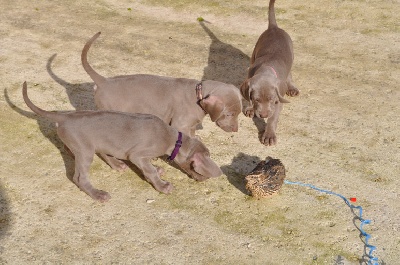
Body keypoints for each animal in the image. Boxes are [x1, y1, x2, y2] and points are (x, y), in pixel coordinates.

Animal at [22, 81, 222, 201]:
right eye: (197, 168)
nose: (204, 180)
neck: (172, 138)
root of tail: (65, 116)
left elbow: (148, 167)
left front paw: (157, 169)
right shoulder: (137, 154)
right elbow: (149, 169)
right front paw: (161, 185)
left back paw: (113, 163)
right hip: (85, 150)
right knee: (79, 177)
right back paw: (98, 194)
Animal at [239, 0, 298, 146]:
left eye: (271, 99)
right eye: (256, 99)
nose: (264, 115)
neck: (266, 68)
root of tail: (274, 27)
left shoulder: (278, 100)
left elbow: (273, 118)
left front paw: (269, 135)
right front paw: (250, 108)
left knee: (290, 74)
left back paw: (292, 88)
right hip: (255, 51)